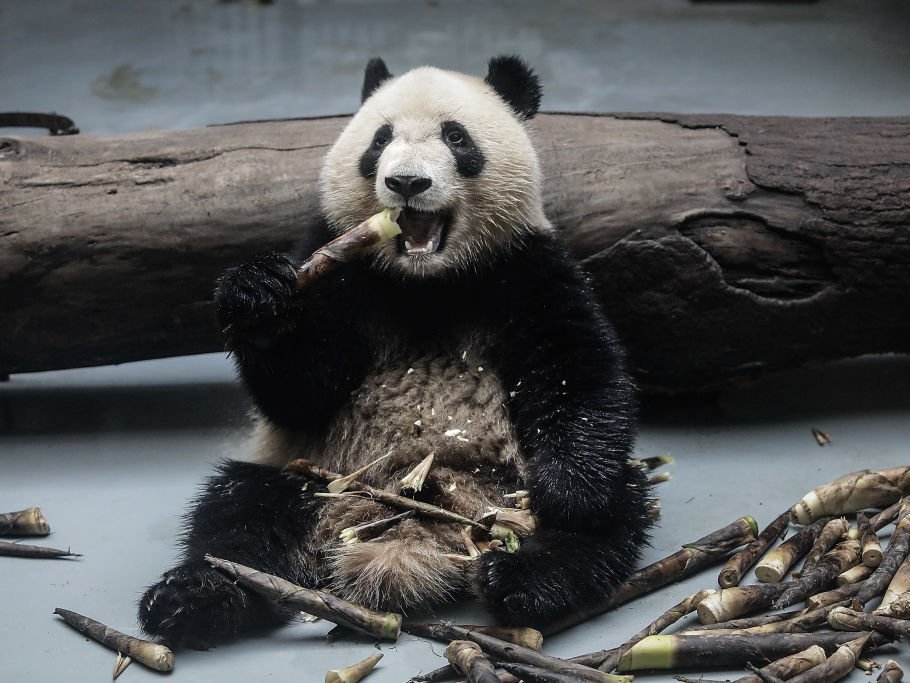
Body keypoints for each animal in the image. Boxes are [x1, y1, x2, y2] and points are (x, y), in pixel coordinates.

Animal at [138, 56, 654, 647]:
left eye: (456, 137)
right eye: (380, 139)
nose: (407, 182)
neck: (425, 282)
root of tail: (405, 522)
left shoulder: (526, 266)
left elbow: (578, 368)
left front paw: (568, 495)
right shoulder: (339, 267)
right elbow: (300, 390)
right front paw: (256, 297)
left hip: (509, 485)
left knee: (611, 519)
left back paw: (523, 576)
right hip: (311, 472)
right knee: (237, 515)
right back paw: (195, 598)